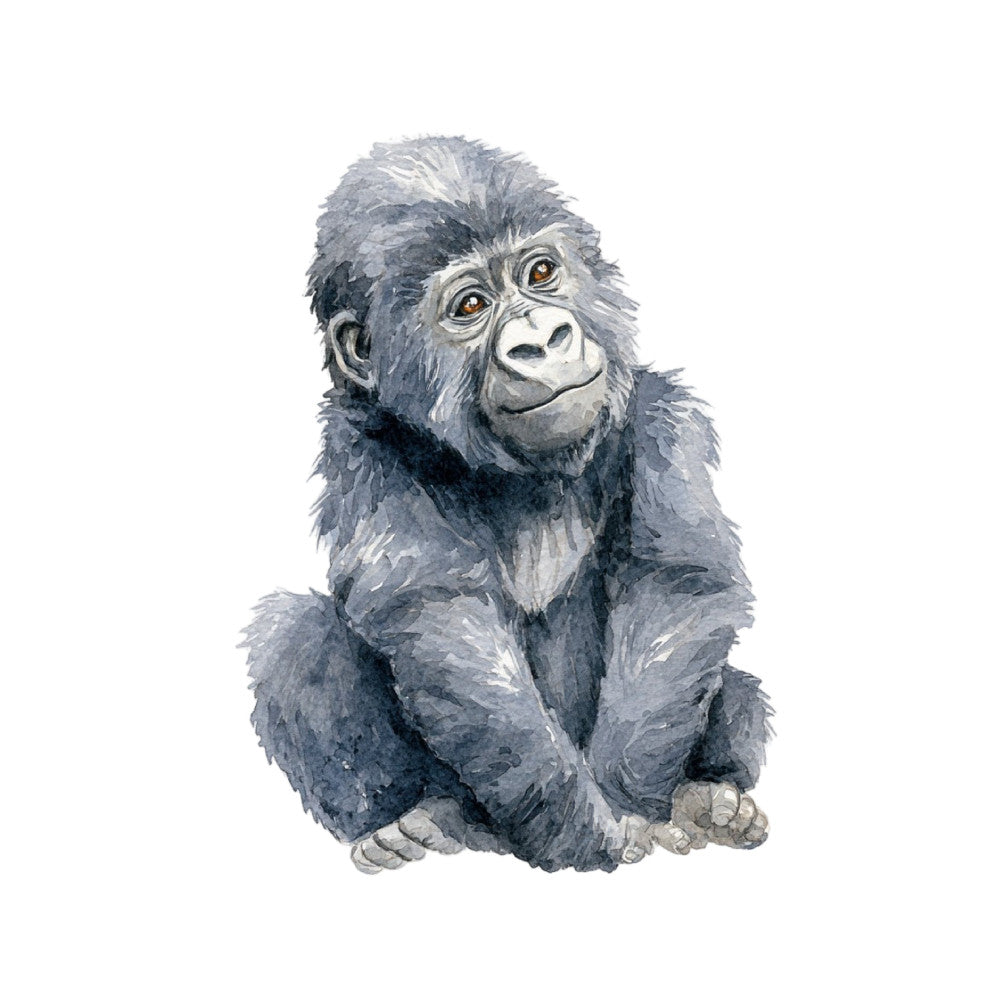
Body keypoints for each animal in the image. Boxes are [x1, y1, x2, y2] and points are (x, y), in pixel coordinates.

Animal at [244, 137, 772, 873]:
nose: (542, 339)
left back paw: (710, 800)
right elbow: (441, 615)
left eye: (540, 272)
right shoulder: (359, 451)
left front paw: (627, 805)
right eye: (470, 306)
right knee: (286, 633)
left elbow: (676, 585)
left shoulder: (663, 417)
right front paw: (584, 833)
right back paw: (417, 823)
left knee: (741, 687)